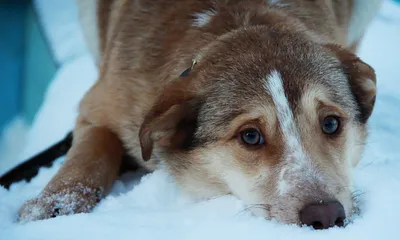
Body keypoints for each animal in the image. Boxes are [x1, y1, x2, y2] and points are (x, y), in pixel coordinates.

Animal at [18, 0, 382, 230]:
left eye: (331, 123)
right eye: (251, 136)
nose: (326, 216)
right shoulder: (97, 107)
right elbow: (91, 154)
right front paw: (54, 206)